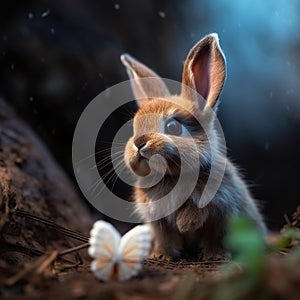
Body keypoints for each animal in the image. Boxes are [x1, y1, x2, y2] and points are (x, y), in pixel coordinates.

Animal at [120, 32, 266, 260]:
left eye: (172, 127)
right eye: (135, 126)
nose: (138, 143)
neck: (171, 176)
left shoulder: (219, 205)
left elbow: (202, 220)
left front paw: (186, 224)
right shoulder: (157, 221)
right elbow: (165, 238)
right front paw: (160, 256)